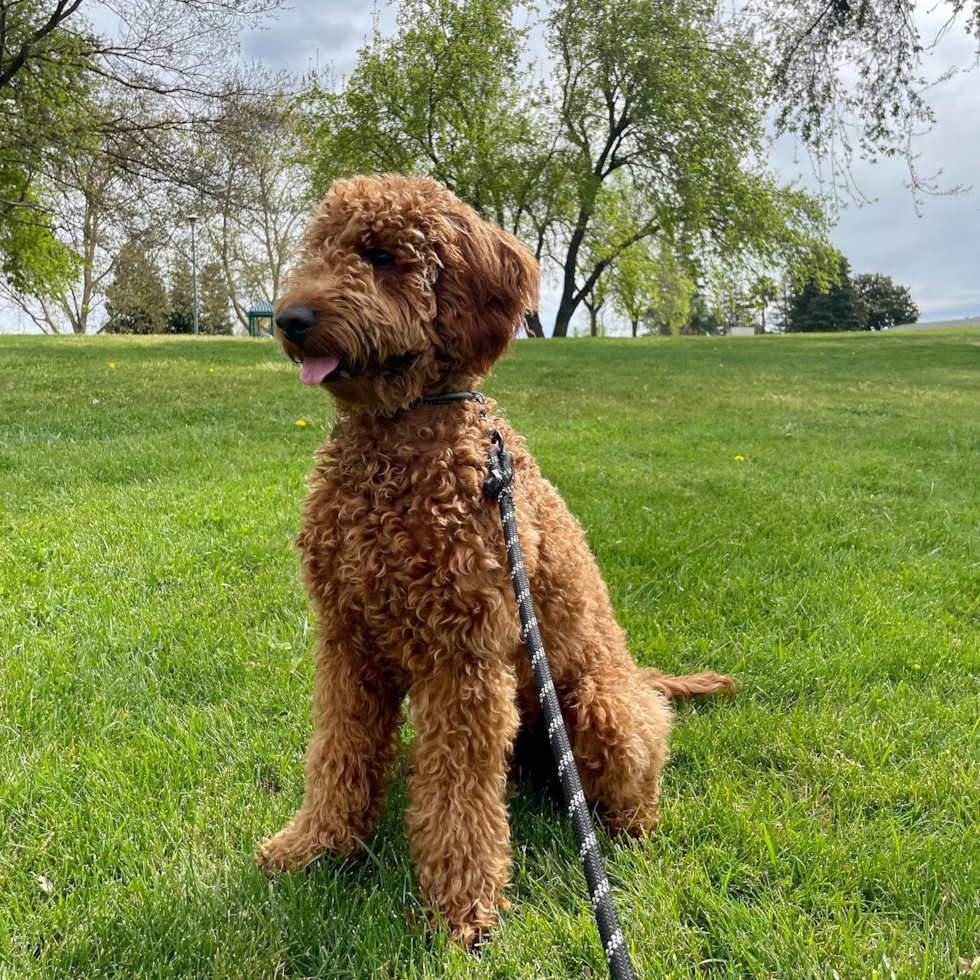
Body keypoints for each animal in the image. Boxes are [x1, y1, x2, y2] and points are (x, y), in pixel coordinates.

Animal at [256, 172, 732, 944]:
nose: (290, 318)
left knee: (636, 774)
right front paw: (317, 845)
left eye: (382, 256)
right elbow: (337, 751)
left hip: (600, 706)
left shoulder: (465, 657)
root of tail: (639, 677)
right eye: (320, 249)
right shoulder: (347, 639)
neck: (395, 440)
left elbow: (456, 796)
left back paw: (629, 827)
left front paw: (459, 909)